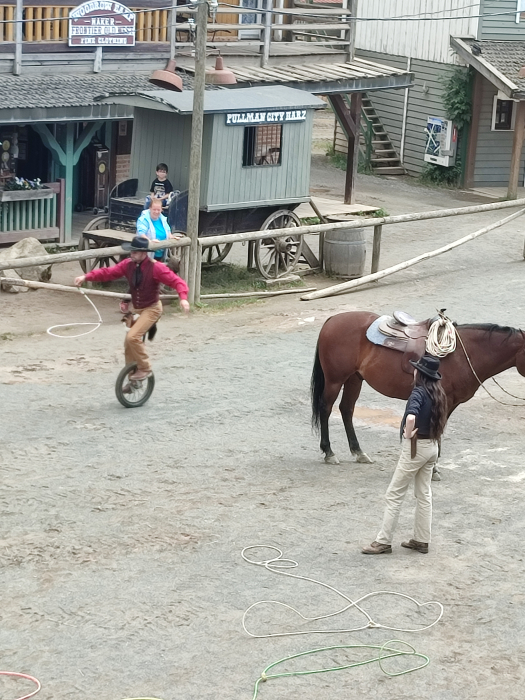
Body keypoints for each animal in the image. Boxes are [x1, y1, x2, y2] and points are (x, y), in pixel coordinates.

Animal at [311, 311, 525, 467]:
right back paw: (329, 452)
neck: (463, 355)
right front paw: (433, 468)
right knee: (325, 408)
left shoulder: (450, 403)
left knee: (346, 409)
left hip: (354, 379)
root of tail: (332, 320)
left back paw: (358, 452)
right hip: (335, 380)